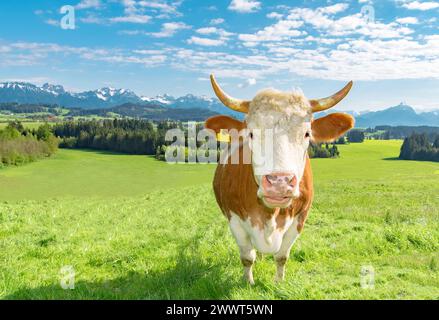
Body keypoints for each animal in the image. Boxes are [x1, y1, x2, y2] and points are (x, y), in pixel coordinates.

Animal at [205, 75, 354, 284]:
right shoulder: (235, 220)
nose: (279, 182)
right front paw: (248, 282)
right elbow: (247, 257)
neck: (270, 212)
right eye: (251, 134)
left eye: (307, 133)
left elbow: (282, 256)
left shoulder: (300, 219)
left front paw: (279, 282)